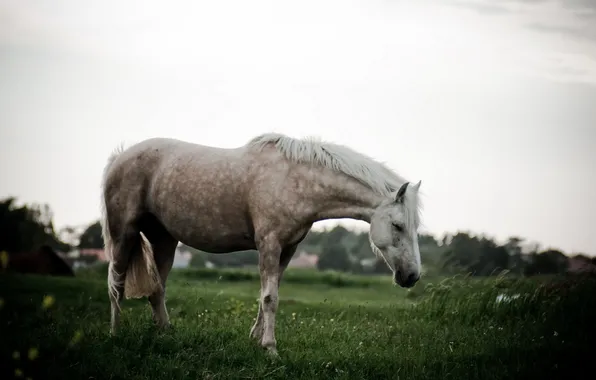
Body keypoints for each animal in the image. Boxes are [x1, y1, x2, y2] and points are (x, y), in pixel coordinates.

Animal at [100, 133, 422, 356]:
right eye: (398, 225)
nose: (412, 276)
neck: (295, 180)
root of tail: (119, 157)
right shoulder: (269, 243)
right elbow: (270, 298)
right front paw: (270, 348)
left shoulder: (287, 249)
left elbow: (268, 293)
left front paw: (256, 340)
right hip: (124, 234)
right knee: (116, 283)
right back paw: (116, 334)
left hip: (164, 239)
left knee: (158, 290)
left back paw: (166, 334)